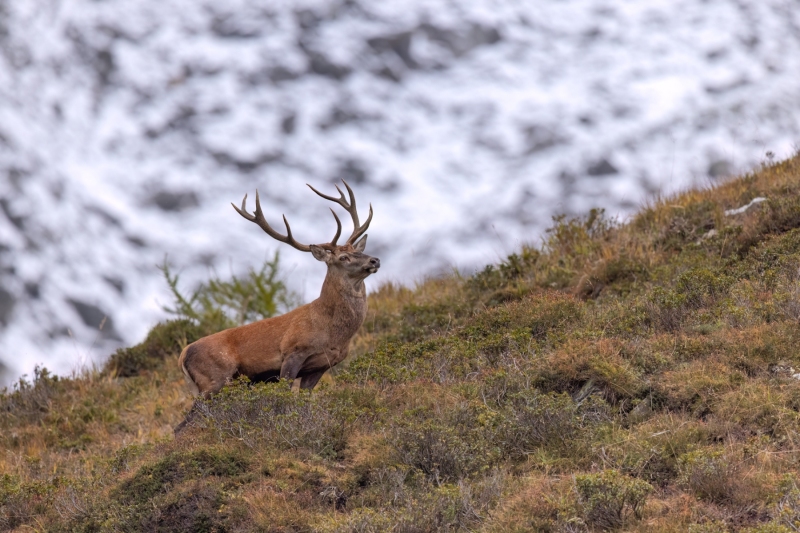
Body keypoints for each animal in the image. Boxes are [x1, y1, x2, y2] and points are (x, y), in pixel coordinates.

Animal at [175, 180, 379, 433]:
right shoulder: (292, 352)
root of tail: (182, 355)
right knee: (180, 427)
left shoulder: (320, 367)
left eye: (358, 251)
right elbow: (284, 401)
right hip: (213, 380)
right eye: (343, 258)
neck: (333, 332)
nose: (374, 260)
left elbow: (304, 403)